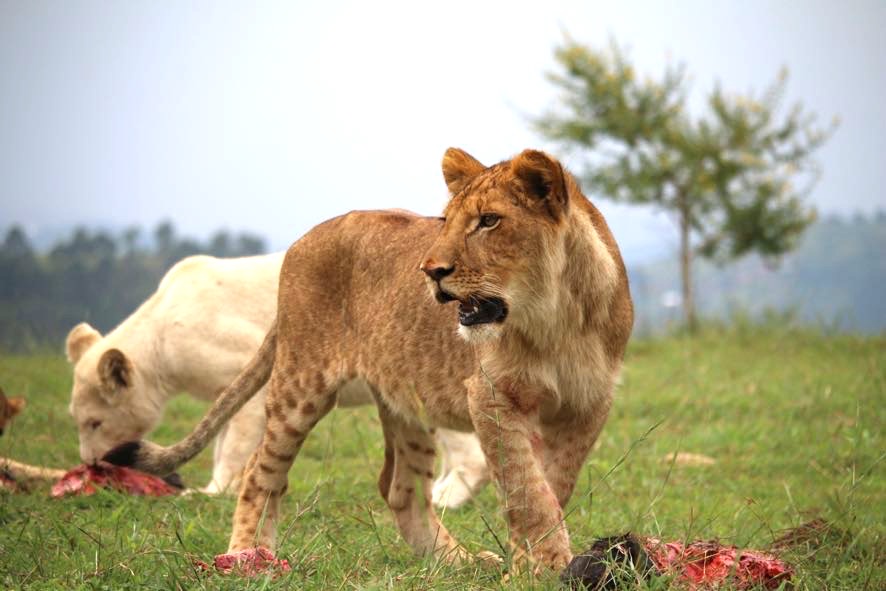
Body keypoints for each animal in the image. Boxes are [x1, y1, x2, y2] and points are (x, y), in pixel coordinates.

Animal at [68, 251, 489, 502]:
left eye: (95, 422)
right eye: (78, 421)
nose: (90, 465)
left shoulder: (250, 376)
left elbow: (232, 449)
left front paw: (213, 492)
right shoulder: (227, 391)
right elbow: (218, 439)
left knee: (472, 458)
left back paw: (445, 499)